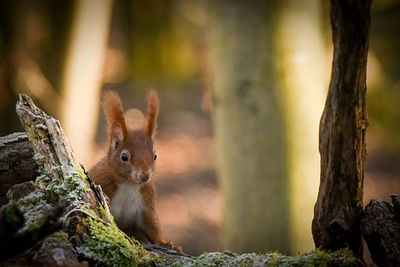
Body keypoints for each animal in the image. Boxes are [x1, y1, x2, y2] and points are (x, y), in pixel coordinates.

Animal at [90, 91, 175, 250]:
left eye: (155, 155)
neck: (129, 184)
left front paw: (165, 242)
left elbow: (152, 225)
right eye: (124, 157)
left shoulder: (146, 203)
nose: (145, 175)